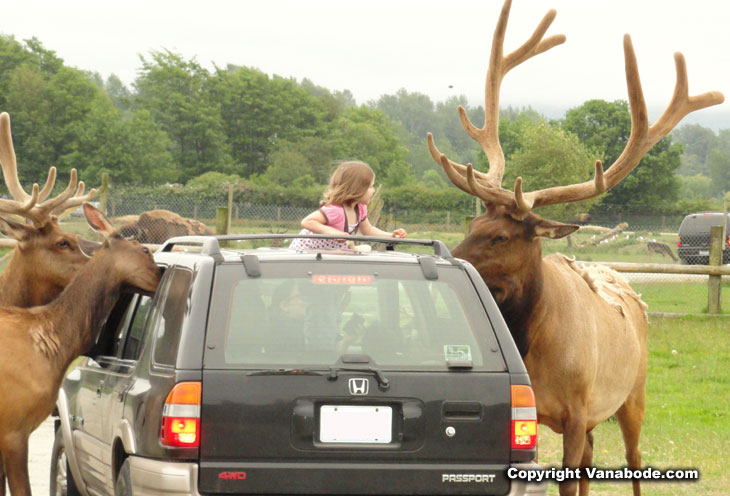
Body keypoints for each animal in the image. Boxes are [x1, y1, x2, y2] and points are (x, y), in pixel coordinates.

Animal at [426, 1, 723, 495]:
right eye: (473, 222)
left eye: (501, 236)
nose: (448, 258)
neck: (535, 347)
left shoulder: (577, 408)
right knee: (589, 458)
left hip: (633, 393)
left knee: (632, 458)